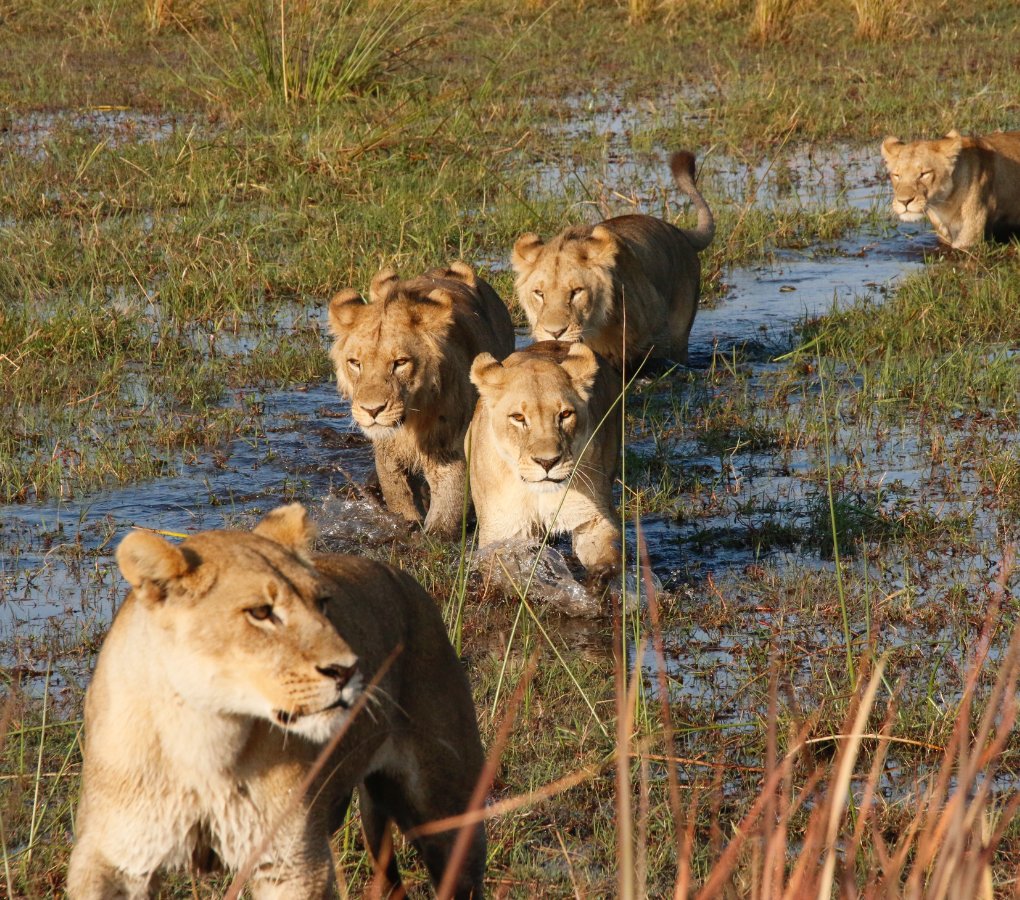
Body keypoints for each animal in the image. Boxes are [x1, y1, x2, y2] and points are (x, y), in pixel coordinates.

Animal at [68, 504, 486, 900]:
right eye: (261, 612)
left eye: (323, 603)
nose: (347, 670)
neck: (202, 737)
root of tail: (399, 576)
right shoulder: (113, 860)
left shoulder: (291, 861)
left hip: (446, 812)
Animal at [328, 261, 515, 537]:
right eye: (355, 363)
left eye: (400, 362)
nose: (372, 410)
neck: (410, 422)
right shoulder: (387, 454)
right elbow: (398, 497)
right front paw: (406, 523)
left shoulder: (449, 454)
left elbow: (446, 510)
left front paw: (432, 535)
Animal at [467, 341, 622, 579]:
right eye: (518, 417)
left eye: (565, 414)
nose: (547, 462)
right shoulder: (500, 533)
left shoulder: (591, 519)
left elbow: (607, 555)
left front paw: (599, 580)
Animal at [511, 151, 715, 370]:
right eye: (539, 293)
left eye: (577, 292)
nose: (555, 333)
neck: (597, 334)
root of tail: (678, 231)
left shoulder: (658, 339)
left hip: (679, 337)